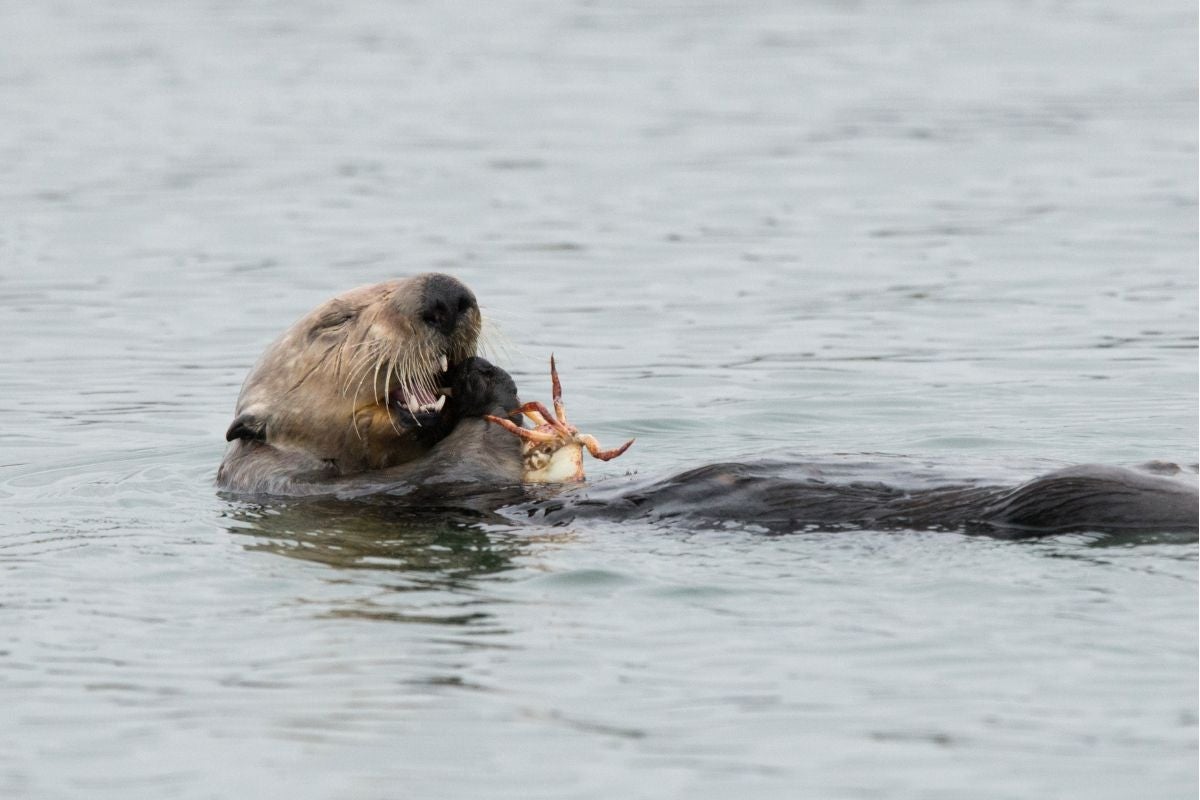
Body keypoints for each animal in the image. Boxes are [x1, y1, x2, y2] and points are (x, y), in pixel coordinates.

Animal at [218, 275, 1200, 537]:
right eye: (334, 322)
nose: (447, 296)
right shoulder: (352, 491)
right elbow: (463, 459)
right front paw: (486, 391)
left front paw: (493, 377)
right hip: (1067, 494)